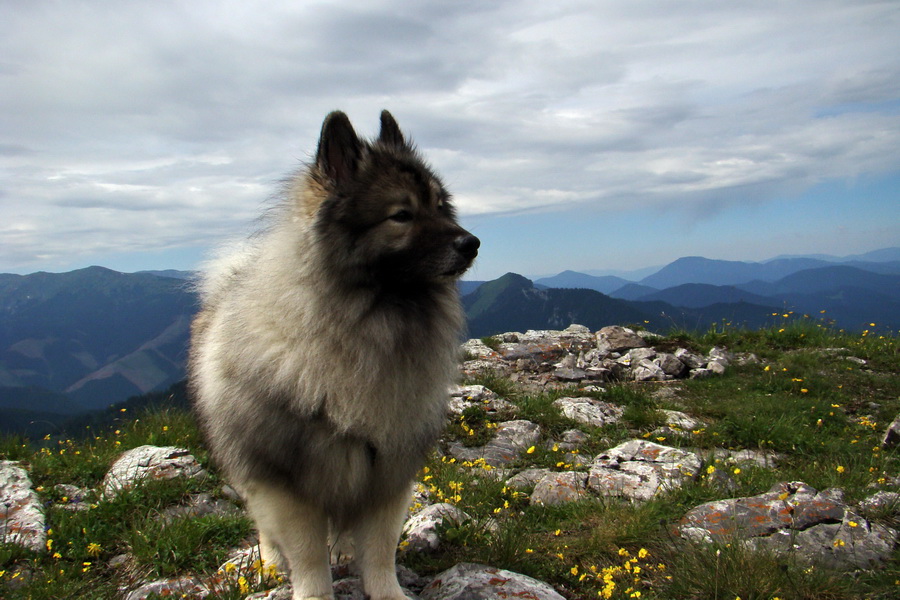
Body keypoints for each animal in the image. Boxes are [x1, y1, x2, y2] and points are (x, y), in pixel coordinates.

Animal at [189, 112, 478, 600]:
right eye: (401, 215)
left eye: (441, 206)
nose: (472, 243)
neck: (368, 327)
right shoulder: (289, 482)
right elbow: (307, 557)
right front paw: (311, 587)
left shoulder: (386, 471)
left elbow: (379, 551)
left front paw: (386, 590)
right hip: (251, 466)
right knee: (265, 525)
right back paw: (271, 562)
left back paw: (342, 551)